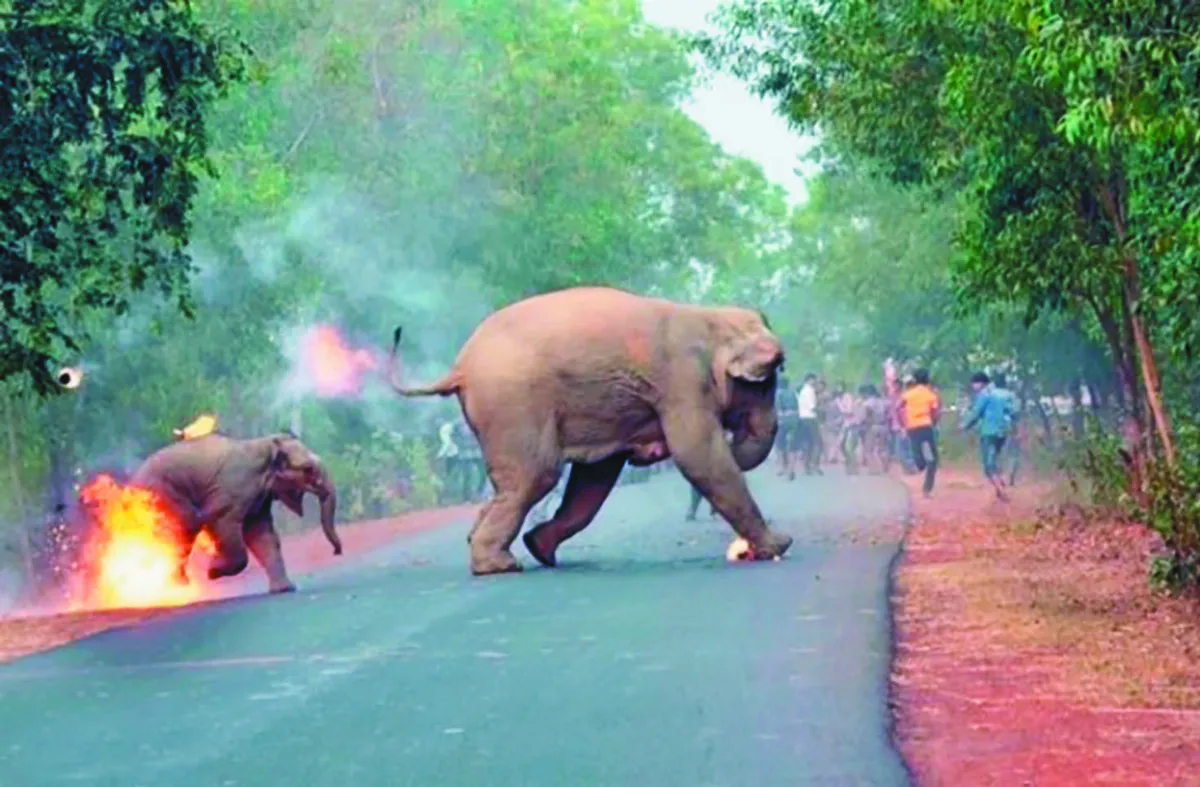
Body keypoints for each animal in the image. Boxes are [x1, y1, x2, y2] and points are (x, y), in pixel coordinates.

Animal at [128, 432, 341, 593]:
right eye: (308, 469)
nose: (336, 552)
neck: (266, 444)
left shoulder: (259, 499)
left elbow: (263, 534)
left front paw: (285, 589)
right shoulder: (233, 489)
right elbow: (223, 523)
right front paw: (212, 572)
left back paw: (175, 585)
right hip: (162, 495)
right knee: (183, 527)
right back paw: (176, 586)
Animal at [385, 285, 793, 576]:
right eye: (767, 382)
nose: (737, 438)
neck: (711, 317)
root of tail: (460, 367)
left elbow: (595, 477)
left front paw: (540, 545)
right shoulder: (682, 383)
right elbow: (698, 455)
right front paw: (778, 546)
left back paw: (508, 549)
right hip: (513, 403)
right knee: (536, 476)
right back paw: (499, 567)